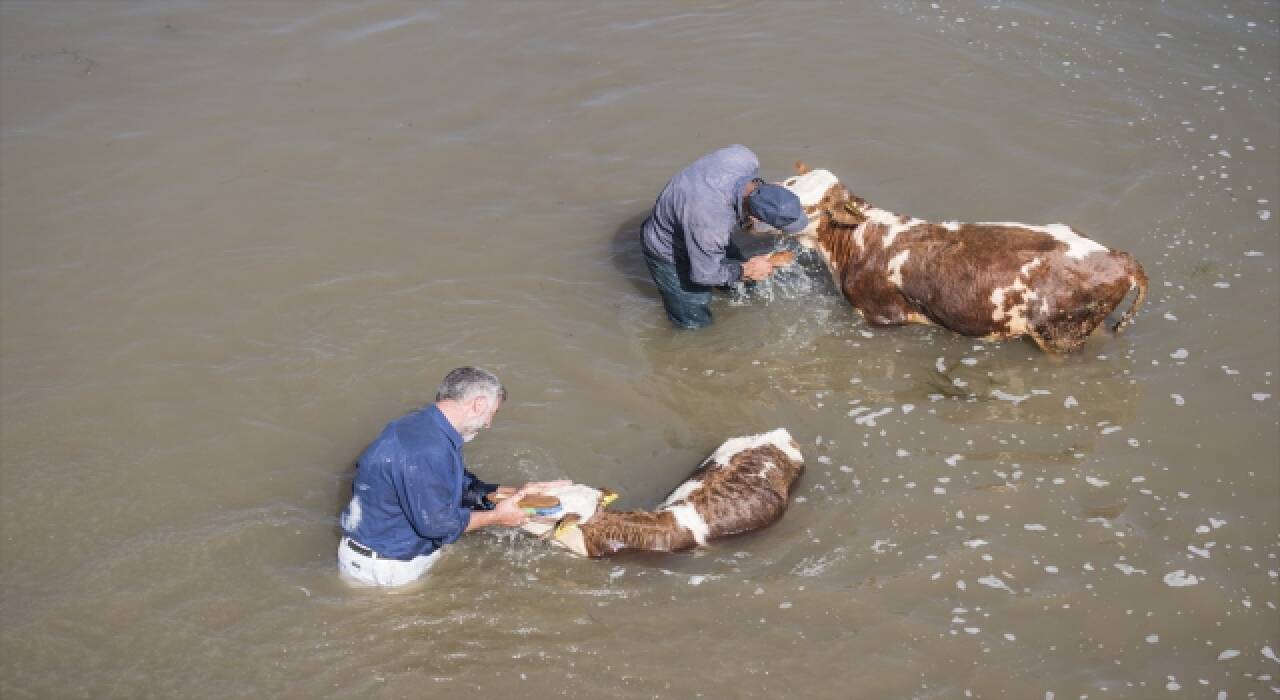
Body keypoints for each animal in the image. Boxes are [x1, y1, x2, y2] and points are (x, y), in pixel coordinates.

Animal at [757, 166, 1152, 355]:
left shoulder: (882, 316)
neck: (856, 240)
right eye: (786, 184)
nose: (751, 211)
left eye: (801, 209)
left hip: (1059, 335)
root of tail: (1121, 259)